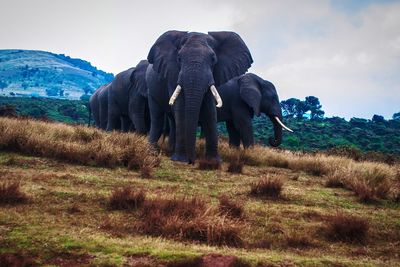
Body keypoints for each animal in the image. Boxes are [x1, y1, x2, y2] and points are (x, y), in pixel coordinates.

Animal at [147, 30, 253, 164]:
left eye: (213, 59)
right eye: (179, 58)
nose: (191, 161)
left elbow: (210, 110)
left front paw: (213, 162)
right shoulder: (173, 74)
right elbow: (181, 109)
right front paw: (180, 160)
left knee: (172, 120)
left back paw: (169, 150)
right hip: (151, 90)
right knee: (157, 118)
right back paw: (153, 152)